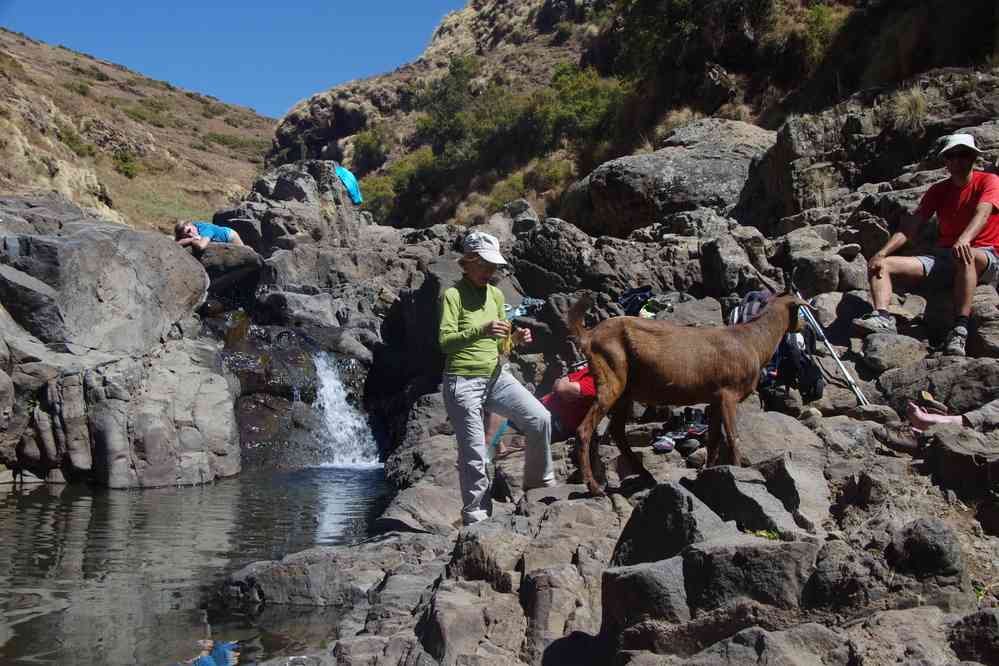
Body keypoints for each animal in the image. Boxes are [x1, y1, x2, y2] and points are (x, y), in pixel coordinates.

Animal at [572, 294, 812, 496]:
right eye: (801, 311)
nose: (806, 325)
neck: (752, 341)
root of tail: (589, 335)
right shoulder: (728, 393)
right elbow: (732, 436)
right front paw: (738, 471)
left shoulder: (715, 399)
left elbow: (714, 440)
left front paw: (710, 474)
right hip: (611, 377)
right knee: (585, 429)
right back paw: (595, 487)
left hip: (625, 392)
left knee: (617, 433)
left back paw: (645, 475)